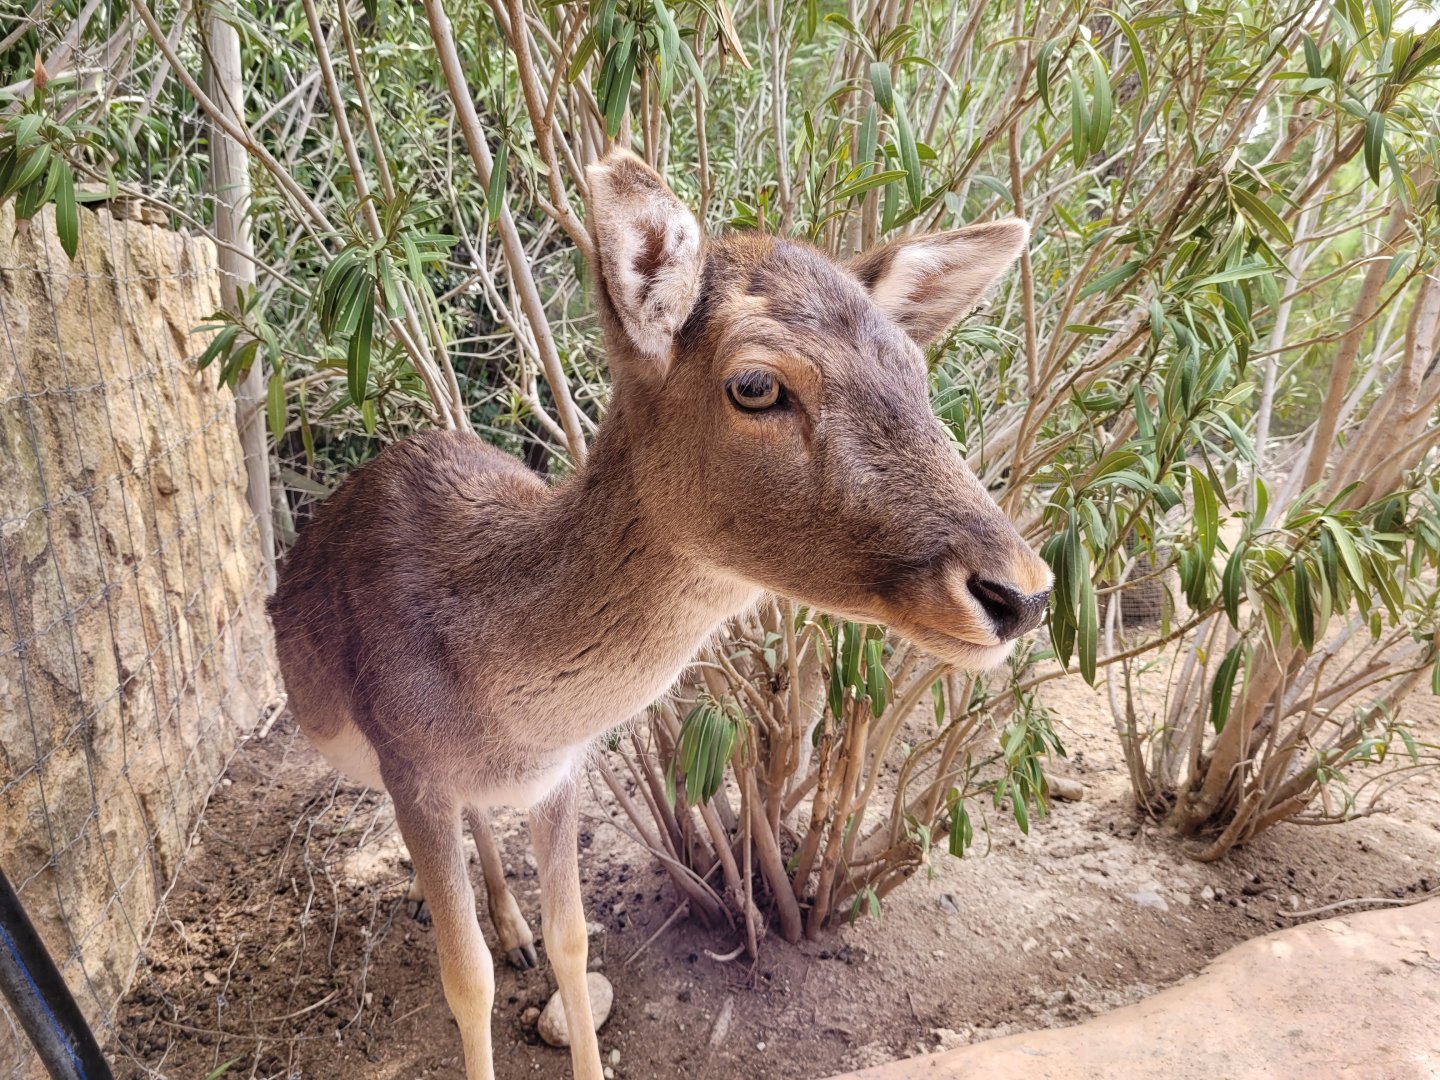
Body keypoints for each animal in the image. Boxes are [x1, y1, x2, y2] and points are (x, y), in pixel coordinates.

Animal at [265, 148, 1052, 1080]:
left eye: (916, 372)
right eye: (755, 385)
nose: (1023, 592)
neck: (503, 711)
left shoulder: (560, 776)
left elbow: (575, 941)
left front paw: (545, 956)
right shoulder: (408, 767)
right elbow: (468, 980)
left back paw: (513, 924)